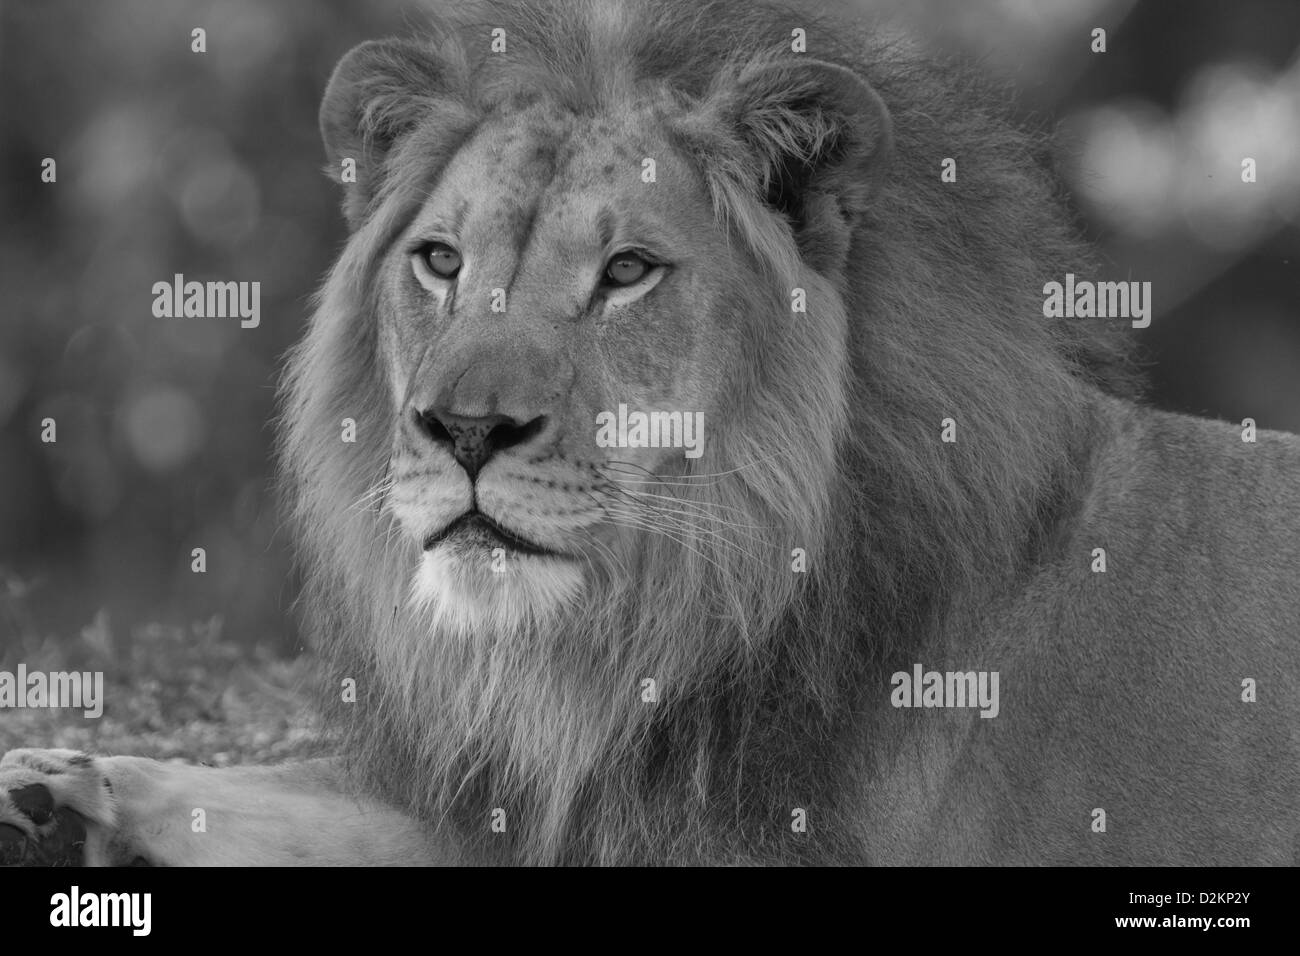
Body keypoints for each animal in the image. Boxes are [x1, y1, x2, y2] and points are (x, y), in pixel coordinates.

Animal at [2, 0, 1300, 868]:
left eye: (626, 271)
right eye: (440, 260)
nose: (464, 428)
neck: (654, 630)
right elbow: (285, 788)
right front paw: (64, 787)